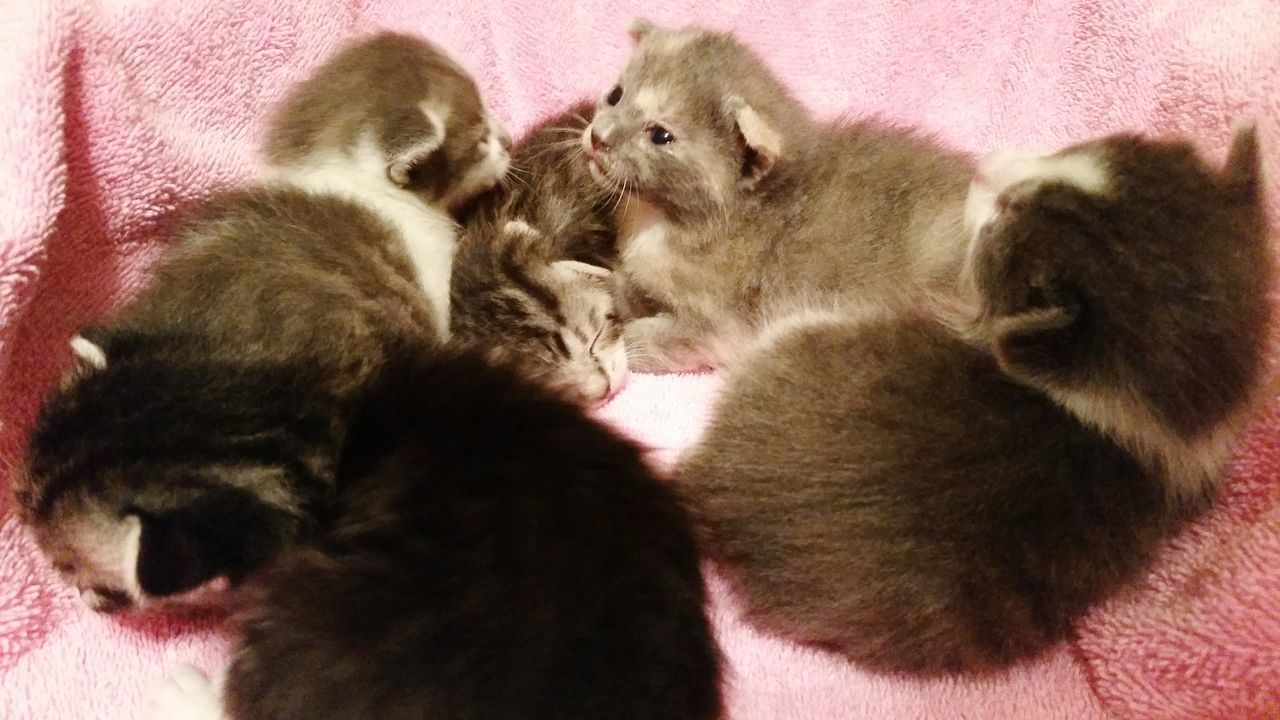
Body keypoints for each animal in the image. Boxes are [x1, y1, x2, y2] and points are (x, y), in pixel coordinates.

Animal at [581, 19, 967, 371]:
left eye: (660, 136)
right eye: (615, 95)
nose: (598, 137)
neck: (660, 219)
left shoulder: (718, 327)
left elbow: (655, 338)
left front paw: (618, 343)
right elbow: (625, 285)